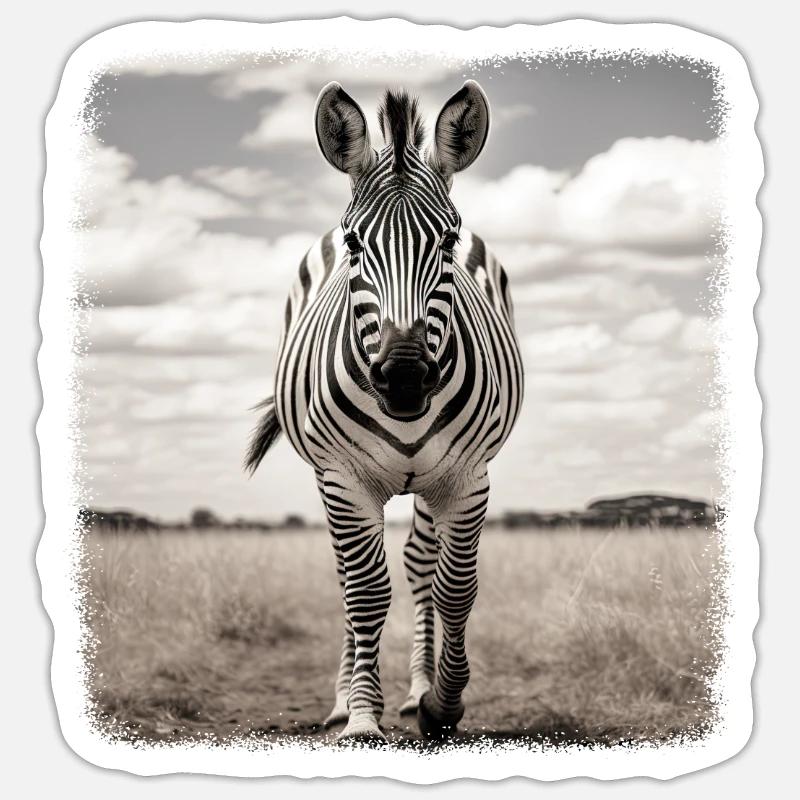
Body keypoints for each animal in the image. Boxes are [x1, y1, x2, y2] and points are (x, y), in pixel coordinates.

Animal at [246, 80, 524, 742]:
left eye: (448, 241)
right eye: (354, 243)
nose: (403, 378)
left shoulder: (467, 477)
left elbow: (456, 589)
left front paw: (442, 704)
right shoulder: (343, 479)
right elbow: (366, 592)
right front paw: (361, 718)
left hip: (428, 483)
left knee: (422, 566)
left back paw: (418, 689)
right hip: (332, 479)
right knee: (349, 577)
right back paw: (343, 698)